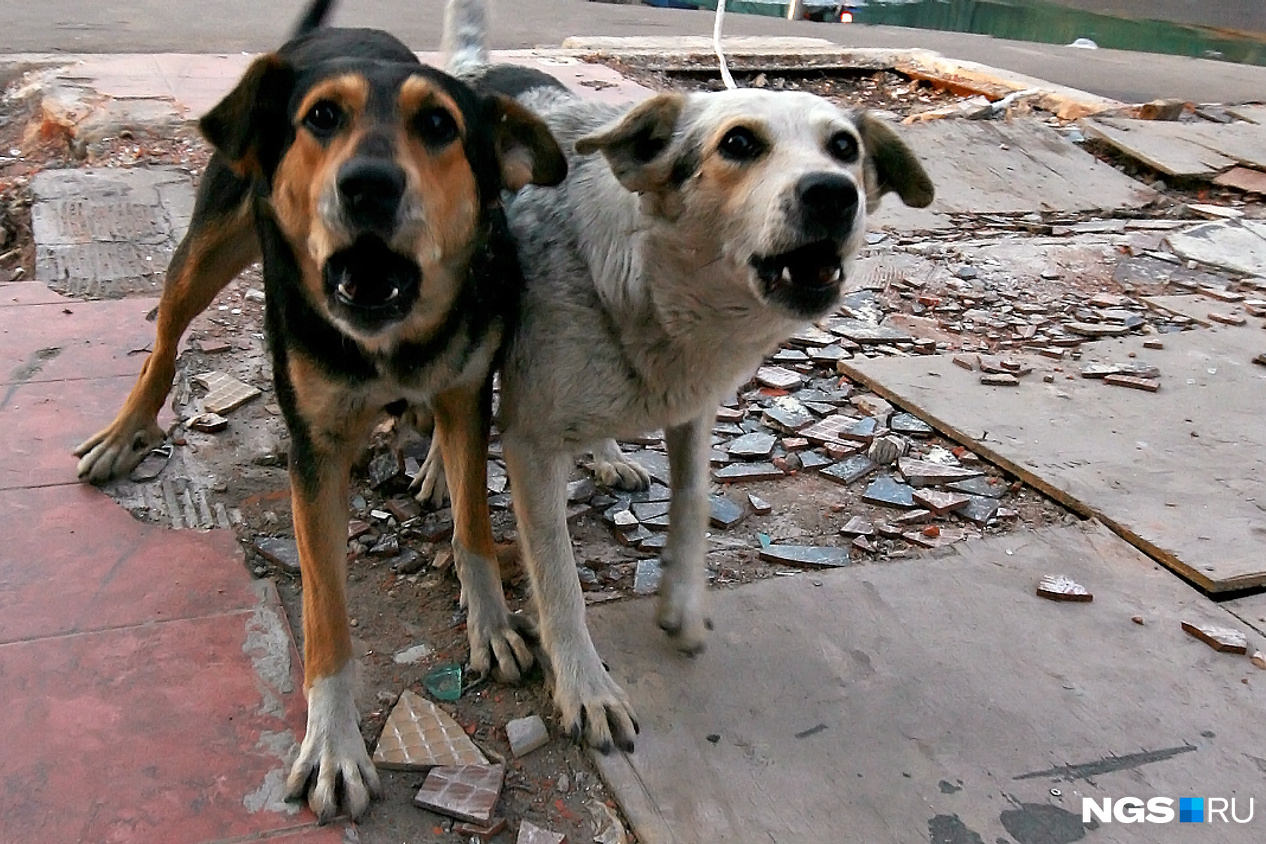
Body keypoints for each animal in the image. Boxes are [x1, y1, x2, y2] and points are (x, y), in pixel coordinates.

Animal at [71, 0, 562, 819]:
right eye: (322, 117)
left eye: (439, 125)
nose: (368, 185)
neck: (390, 337)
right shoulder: (315, 449)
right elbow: (325, 610)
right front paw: (333, 743)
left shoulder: (469, 387)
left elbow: (473, 525)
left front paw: (490, 622)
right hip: (208, 244)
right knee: (166, 337)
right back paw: (126, 430)